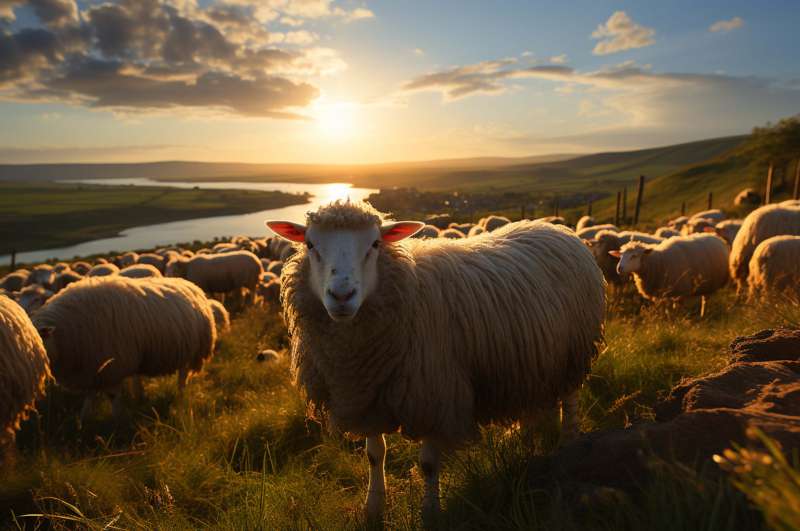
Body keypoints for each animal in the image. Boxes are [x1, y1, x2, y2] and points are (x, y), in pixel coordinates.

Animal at [33, 276, 217, 422]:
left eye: (39, 340)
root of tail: (191, 285)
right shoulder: (93, 368)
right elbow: (90, 394)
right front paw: (83, 419)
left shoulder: (113, 365)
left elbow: (112, 396)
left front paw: (116, 420)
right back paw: (140, 395)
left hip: (192, 349)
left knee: (183, 375)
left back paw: (180, 394)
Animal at [266, 200, 604, 524]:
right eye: (310, 244)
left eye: (375, 244)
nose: (342, 295)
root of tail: (555, 227)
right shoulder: (365, 396)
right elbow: (375, 455)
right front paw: (373, 507)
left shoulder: (434, 394)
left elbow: (428, 464)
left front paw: (431, 512)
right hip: (533, 360)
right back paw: (522, 438)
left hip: (574, 352)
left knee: (570, 400)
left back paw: (569, 442)